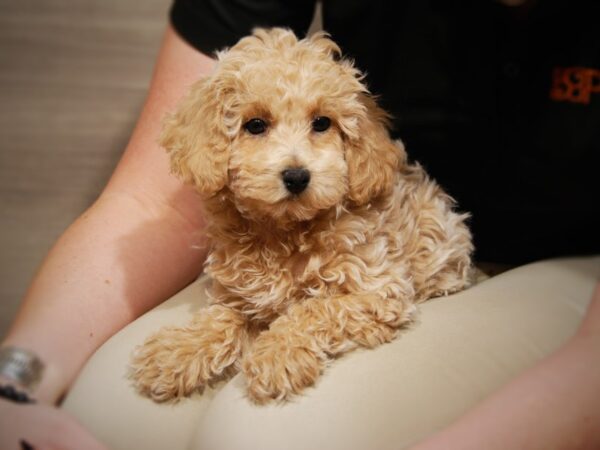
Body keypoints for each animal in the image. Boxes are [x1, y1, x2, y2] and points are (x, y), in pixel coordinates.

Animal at [129, 28, 472, 404]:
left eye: (322, 123)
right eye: (255, 125)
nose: (296, 176)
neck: (285, 231)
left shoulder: (380, 292)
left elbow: (314, 308)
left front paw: (277, 354)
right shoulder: (241, 292)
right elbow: (221, 318)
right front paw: (177, 351)